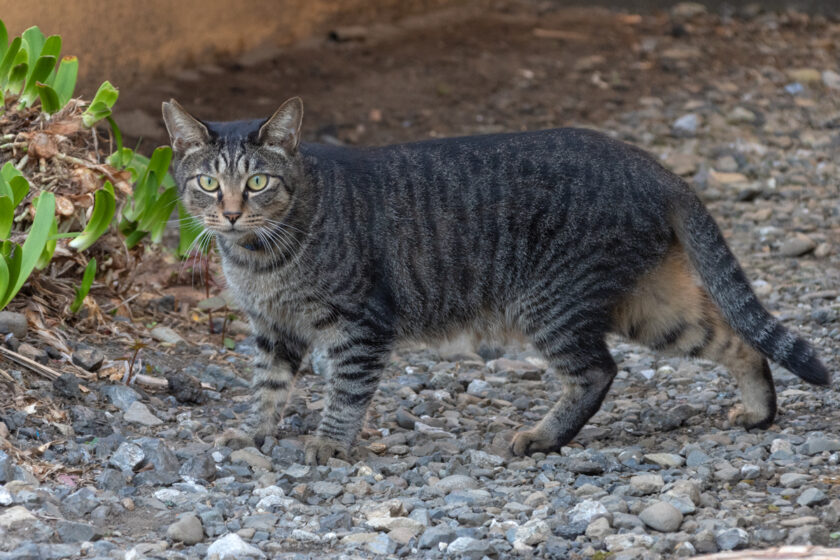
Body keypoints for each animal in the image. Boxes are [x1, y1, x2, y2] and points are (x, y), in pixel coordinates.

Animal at [161, 96, 832, 464]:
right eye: (207, 182)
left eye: (257, 182)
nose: (229, 212)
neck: (258, 257)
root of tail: (655, 165)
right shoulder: (273, 331)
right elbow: (268, 390)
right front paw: (256, 435)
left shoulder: (361, 325)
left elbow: (345, 394)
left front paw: (327, 445)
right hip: (652, 306)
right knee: (735, 339)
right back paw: (759, 412)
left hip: (553, 301)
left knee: (598, 371)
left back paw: (543, 437)